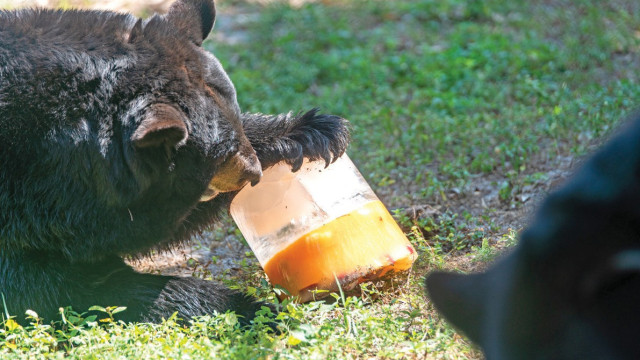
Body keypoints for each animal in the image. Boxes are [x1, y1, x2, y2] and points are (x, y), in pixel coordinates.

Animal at [1, 0, 350, 326]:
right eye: (222, 153)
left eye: (237, 120)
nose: (254, 173)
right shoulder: (27, 202)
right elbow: (61, 286)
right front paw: (246, 308)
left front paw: (314, 134)